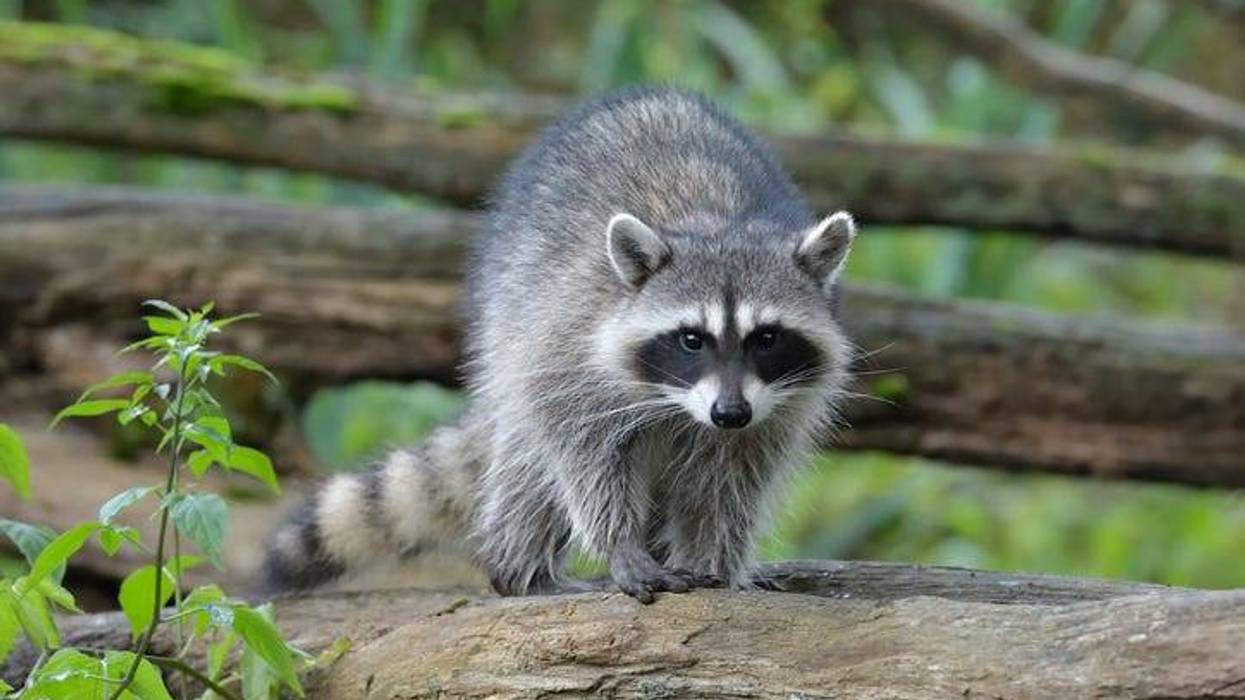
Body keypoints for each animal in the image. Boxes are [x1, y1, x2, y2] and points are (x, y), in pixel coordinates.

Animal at [262, 87, 857, 603]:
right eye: (692, 339)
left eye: (767, 338)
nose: (729, 413)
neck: (718, 225)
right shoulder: (570, 345)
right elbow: (580, 448)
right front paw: (620, 543)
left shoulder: (777, 405)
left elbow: (731, 482)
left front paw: (717, 562)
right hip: (508, 319)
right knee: (528, 462)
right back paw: (522, 568)